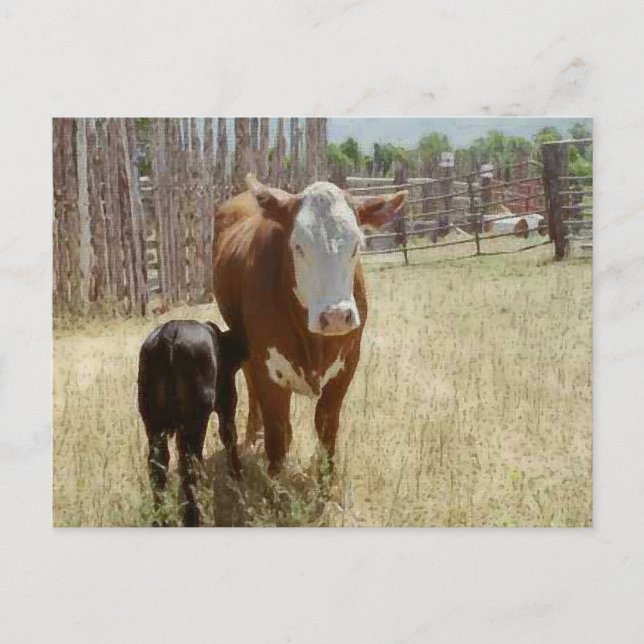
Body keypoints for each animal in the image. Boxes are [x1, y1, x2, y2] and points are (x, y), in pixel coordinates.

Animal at [137, 320, 248, 526]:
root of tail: (169, 332)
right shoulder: (227, 402)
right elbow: (230, 436)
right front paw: (237, 473)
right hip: (194, 423)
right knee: (190, 466)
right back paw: (194, 517)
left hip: (153, 423)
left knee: (157, 467)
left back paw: (161, 520)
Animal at [213, 175, 406, 477]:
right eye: (298, 246)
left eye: (356, 244)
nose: (337, 316)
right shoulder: (267, 369)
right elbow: (278, 435)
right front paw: (275, 484)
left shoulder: (348, 364)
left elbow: (326, 428)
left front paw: (325, 483)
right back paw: (251, 437)